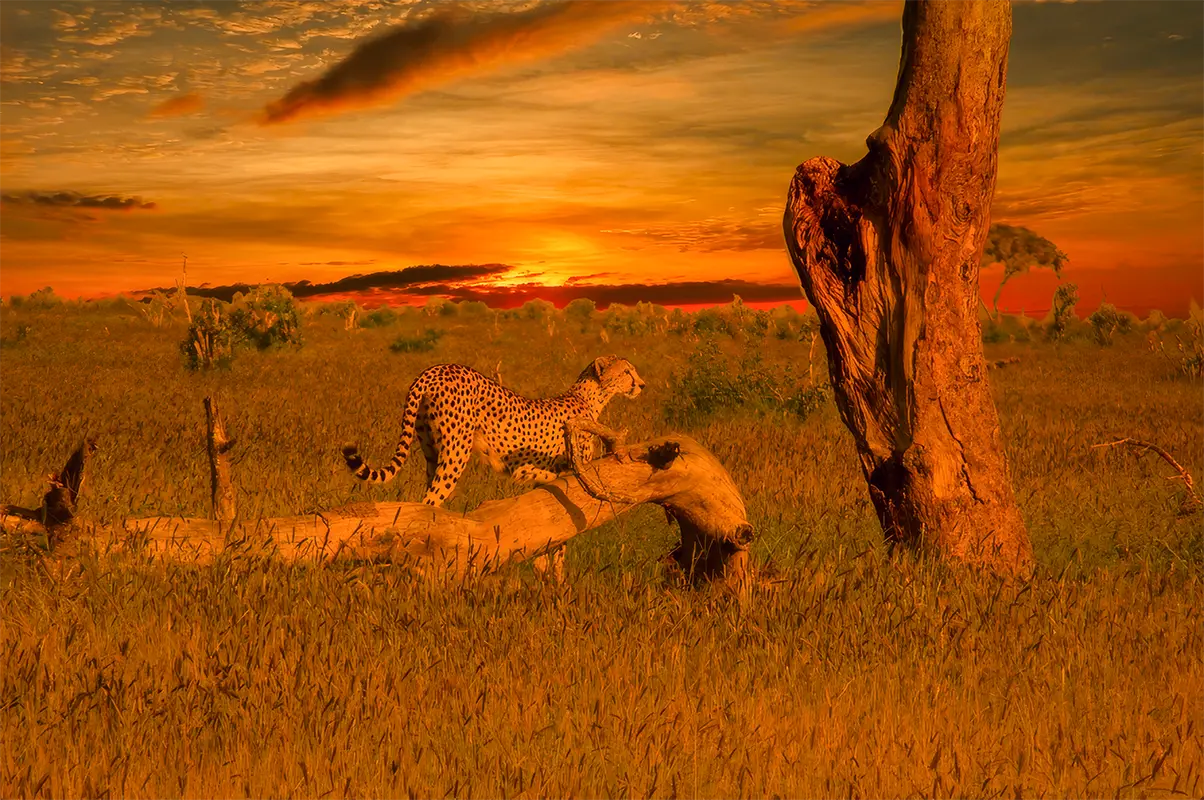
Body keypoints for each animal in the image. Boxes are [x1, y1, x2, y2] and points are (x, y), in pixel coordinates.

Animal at [342, 355, 645, 506]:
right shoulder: (574, 470)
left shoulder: (549, 478)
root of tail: (436, 368)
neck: (589, 397)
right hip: (456, 452)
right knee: (432, 497)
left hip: (430, 448)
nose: (642, 385)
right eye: (627, 372)